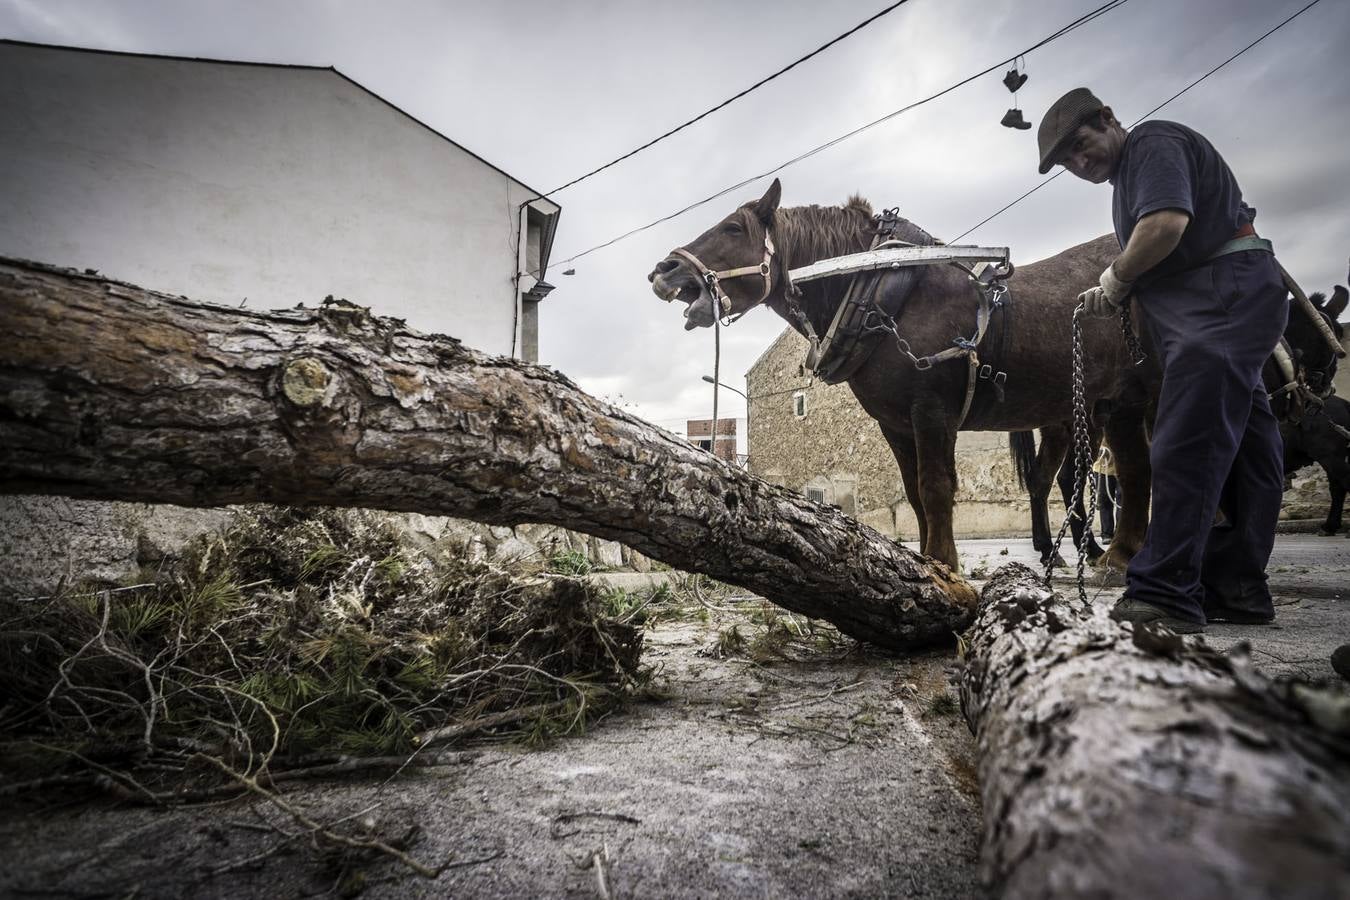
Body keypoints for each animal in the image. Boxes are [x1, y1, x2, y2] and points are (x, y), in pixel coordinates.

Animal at [648, 178, 1155, 569]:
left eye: (733, 227)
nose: (663, 270)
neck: (885, 290)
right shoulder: (894, 424)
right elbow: (913, 494)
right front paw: (928, 560)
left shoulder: (932, 412)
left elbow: (936, 488)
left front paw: (944, 562)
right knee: (1092, 473)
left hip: (1116, 400)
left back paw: (1110, 554)